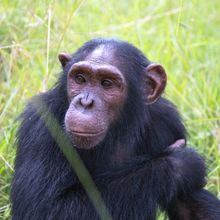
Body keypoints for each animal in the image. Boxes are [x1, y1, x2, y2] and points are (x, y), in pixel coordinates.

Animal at [12, 38, 220, 220]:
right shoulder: (41, 125)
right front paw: (179, 164)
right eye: (80, 79)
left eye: (107, 83)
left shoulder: (167, 123)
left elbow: (188, 208)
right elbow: (45, 209)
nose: (85, 102)